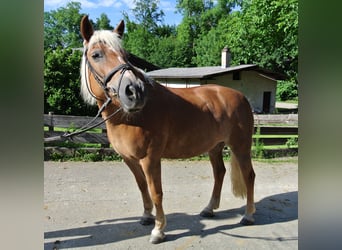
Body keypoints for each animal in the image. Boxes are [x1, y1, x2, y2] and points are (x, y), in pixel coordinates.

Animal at [80, 14, 255, 243]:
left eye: (125, 55)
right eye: (96, 55)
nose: (134, 91)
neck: (131, 117)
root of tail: (241, 97)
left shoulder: (150, 159)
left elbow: (156, 192)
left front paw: (158, 230)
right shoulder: (130, 159)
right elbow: (142, 187)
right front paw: (146, 216)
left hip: (240, 146)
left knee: (249, 176)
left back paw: (248, 216)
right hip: (215, 147)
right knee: (219, 172)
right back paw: (209, 209)